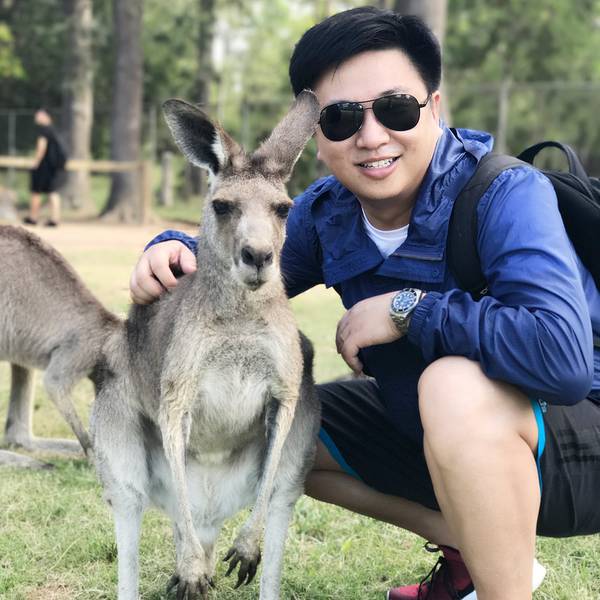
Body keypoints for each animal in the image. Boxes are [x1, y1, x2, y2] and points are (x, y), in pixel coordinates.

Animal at [90, 90, 321, 599]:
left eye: (284, 209)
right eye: (222, 207)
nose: (258, 256)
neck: (241, 317)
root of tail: (212, 506)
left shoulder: (288, 389)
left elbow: (278, 432)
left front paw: (244, 549)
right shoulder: (177, 389)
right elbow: (174, 418)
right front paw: (193, 570)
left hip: (295, 463)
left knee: (270, 507)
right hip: (120, 452)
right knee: (153, 521)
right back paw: (191, 570)